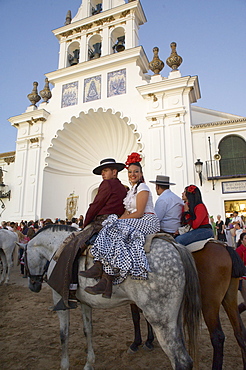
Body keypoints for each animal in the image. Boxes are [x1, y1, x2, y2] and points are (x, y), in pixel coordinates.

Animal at [20, 225, 202, 370]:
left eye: (23, 257)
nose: (33, 285)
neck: (58, 247)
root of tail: (175, 246)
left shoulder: (59, 298)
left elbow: (63, 334)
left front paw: (64, 366)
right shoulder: (85, 302)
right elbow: (88, 330)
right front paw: (89, 363)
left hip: (160, 318)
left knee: (181, 361)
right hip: (174, 318)